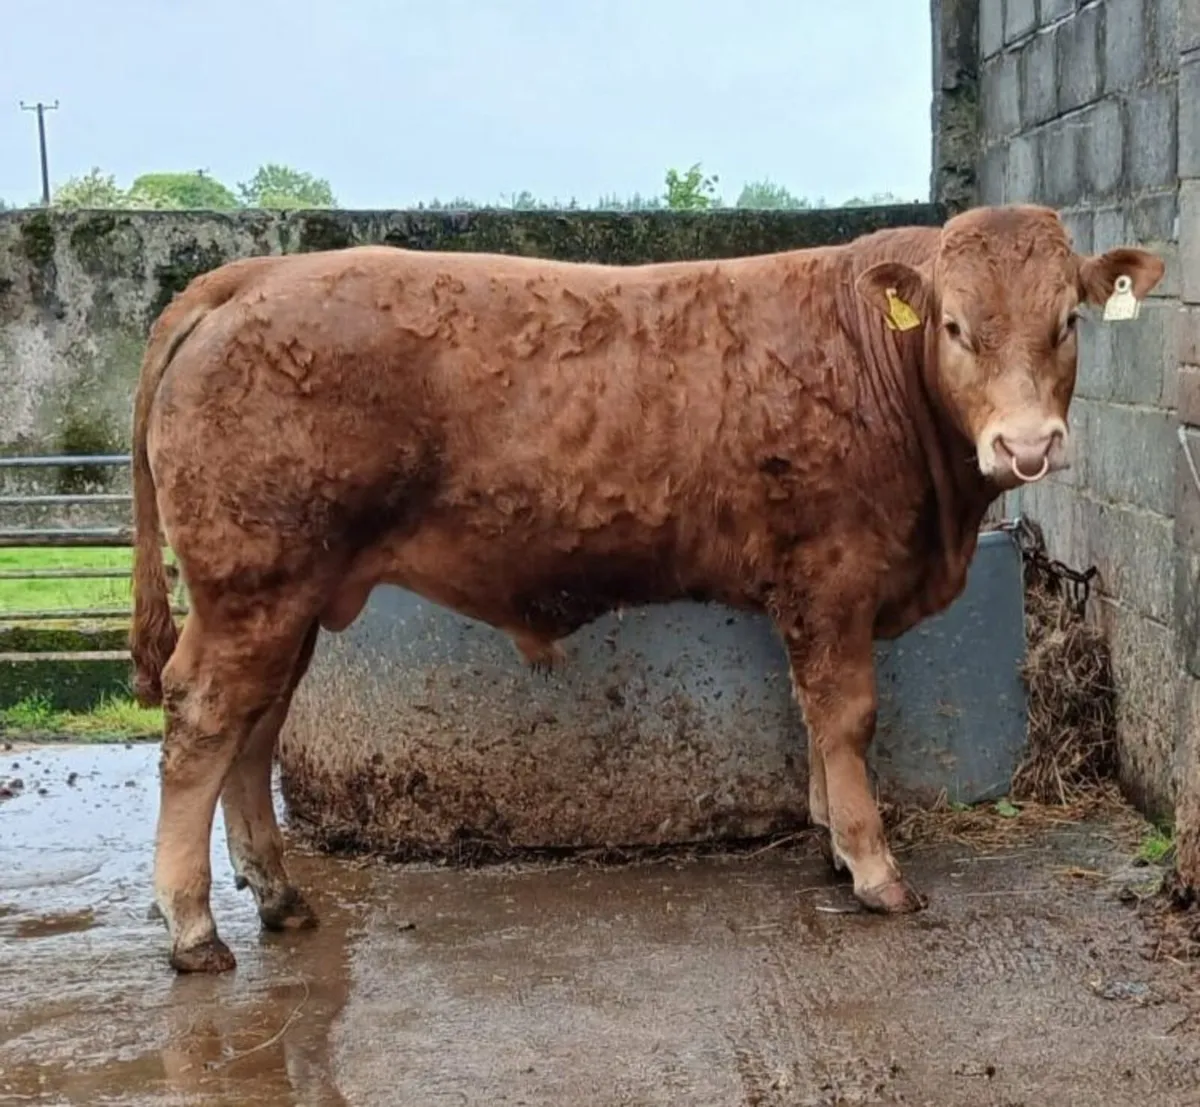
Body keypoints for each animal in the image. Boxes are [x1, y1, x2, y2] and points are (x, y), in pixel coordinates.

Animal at [128, 203, 1164, 973]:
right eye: (955, 327)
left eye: (1067, 321)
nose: (1027, 446)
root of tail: (249, 277)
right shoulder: (831, 579)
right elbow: (846, 717)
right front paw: (872, 867)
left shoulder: (808, 595)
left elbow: (812, 716)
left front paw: (832, 839)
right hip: (253, 584)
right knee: (204, 720)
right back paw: (192, 924)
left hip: (285, 595)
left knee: (256, 726)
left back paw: (278, 893)